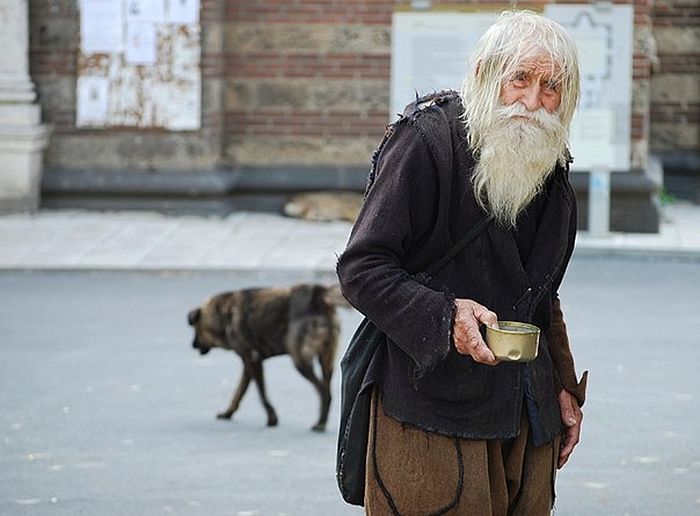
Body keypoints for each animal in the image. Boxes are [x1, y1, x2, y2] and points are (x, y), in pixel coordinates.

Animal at [185, 282, 340, 432]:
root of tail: (318, 295)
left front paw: (272, 418)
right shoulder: (247, 365)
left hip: (300, 361)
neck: (224, 314)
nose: (192, 345)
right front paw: (228, 413)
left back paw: (320, 423)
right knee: (328, 389)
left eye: (196, 329)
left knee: (324, 392)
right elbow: (238, 393)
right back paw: (323, 421)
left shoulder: (253, 360)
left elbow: (261, 393)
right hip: (326, 362)